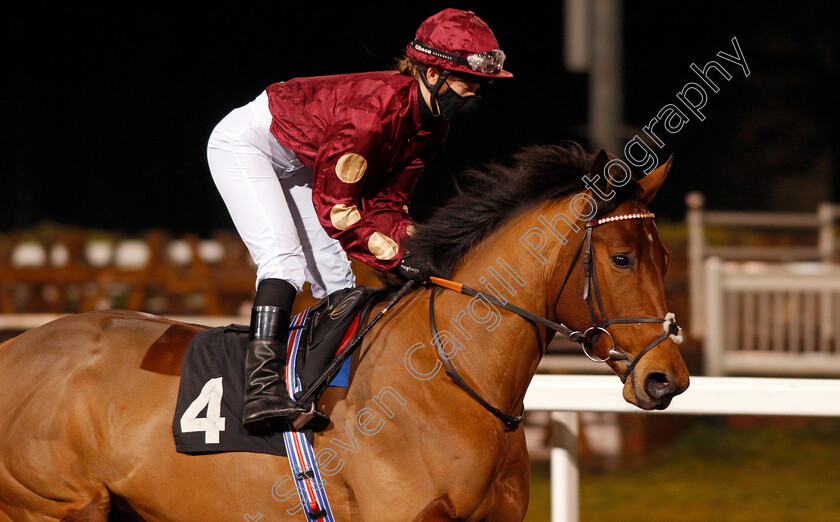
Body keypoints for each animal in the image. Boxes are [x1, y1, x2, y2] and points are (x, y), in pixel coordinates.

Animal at [1, 143, 688, 520]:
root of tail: (17, 346)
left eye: (665, 259)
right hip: (56, 503)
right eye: (622, 259)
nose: (668, 379)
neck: (445, 381)